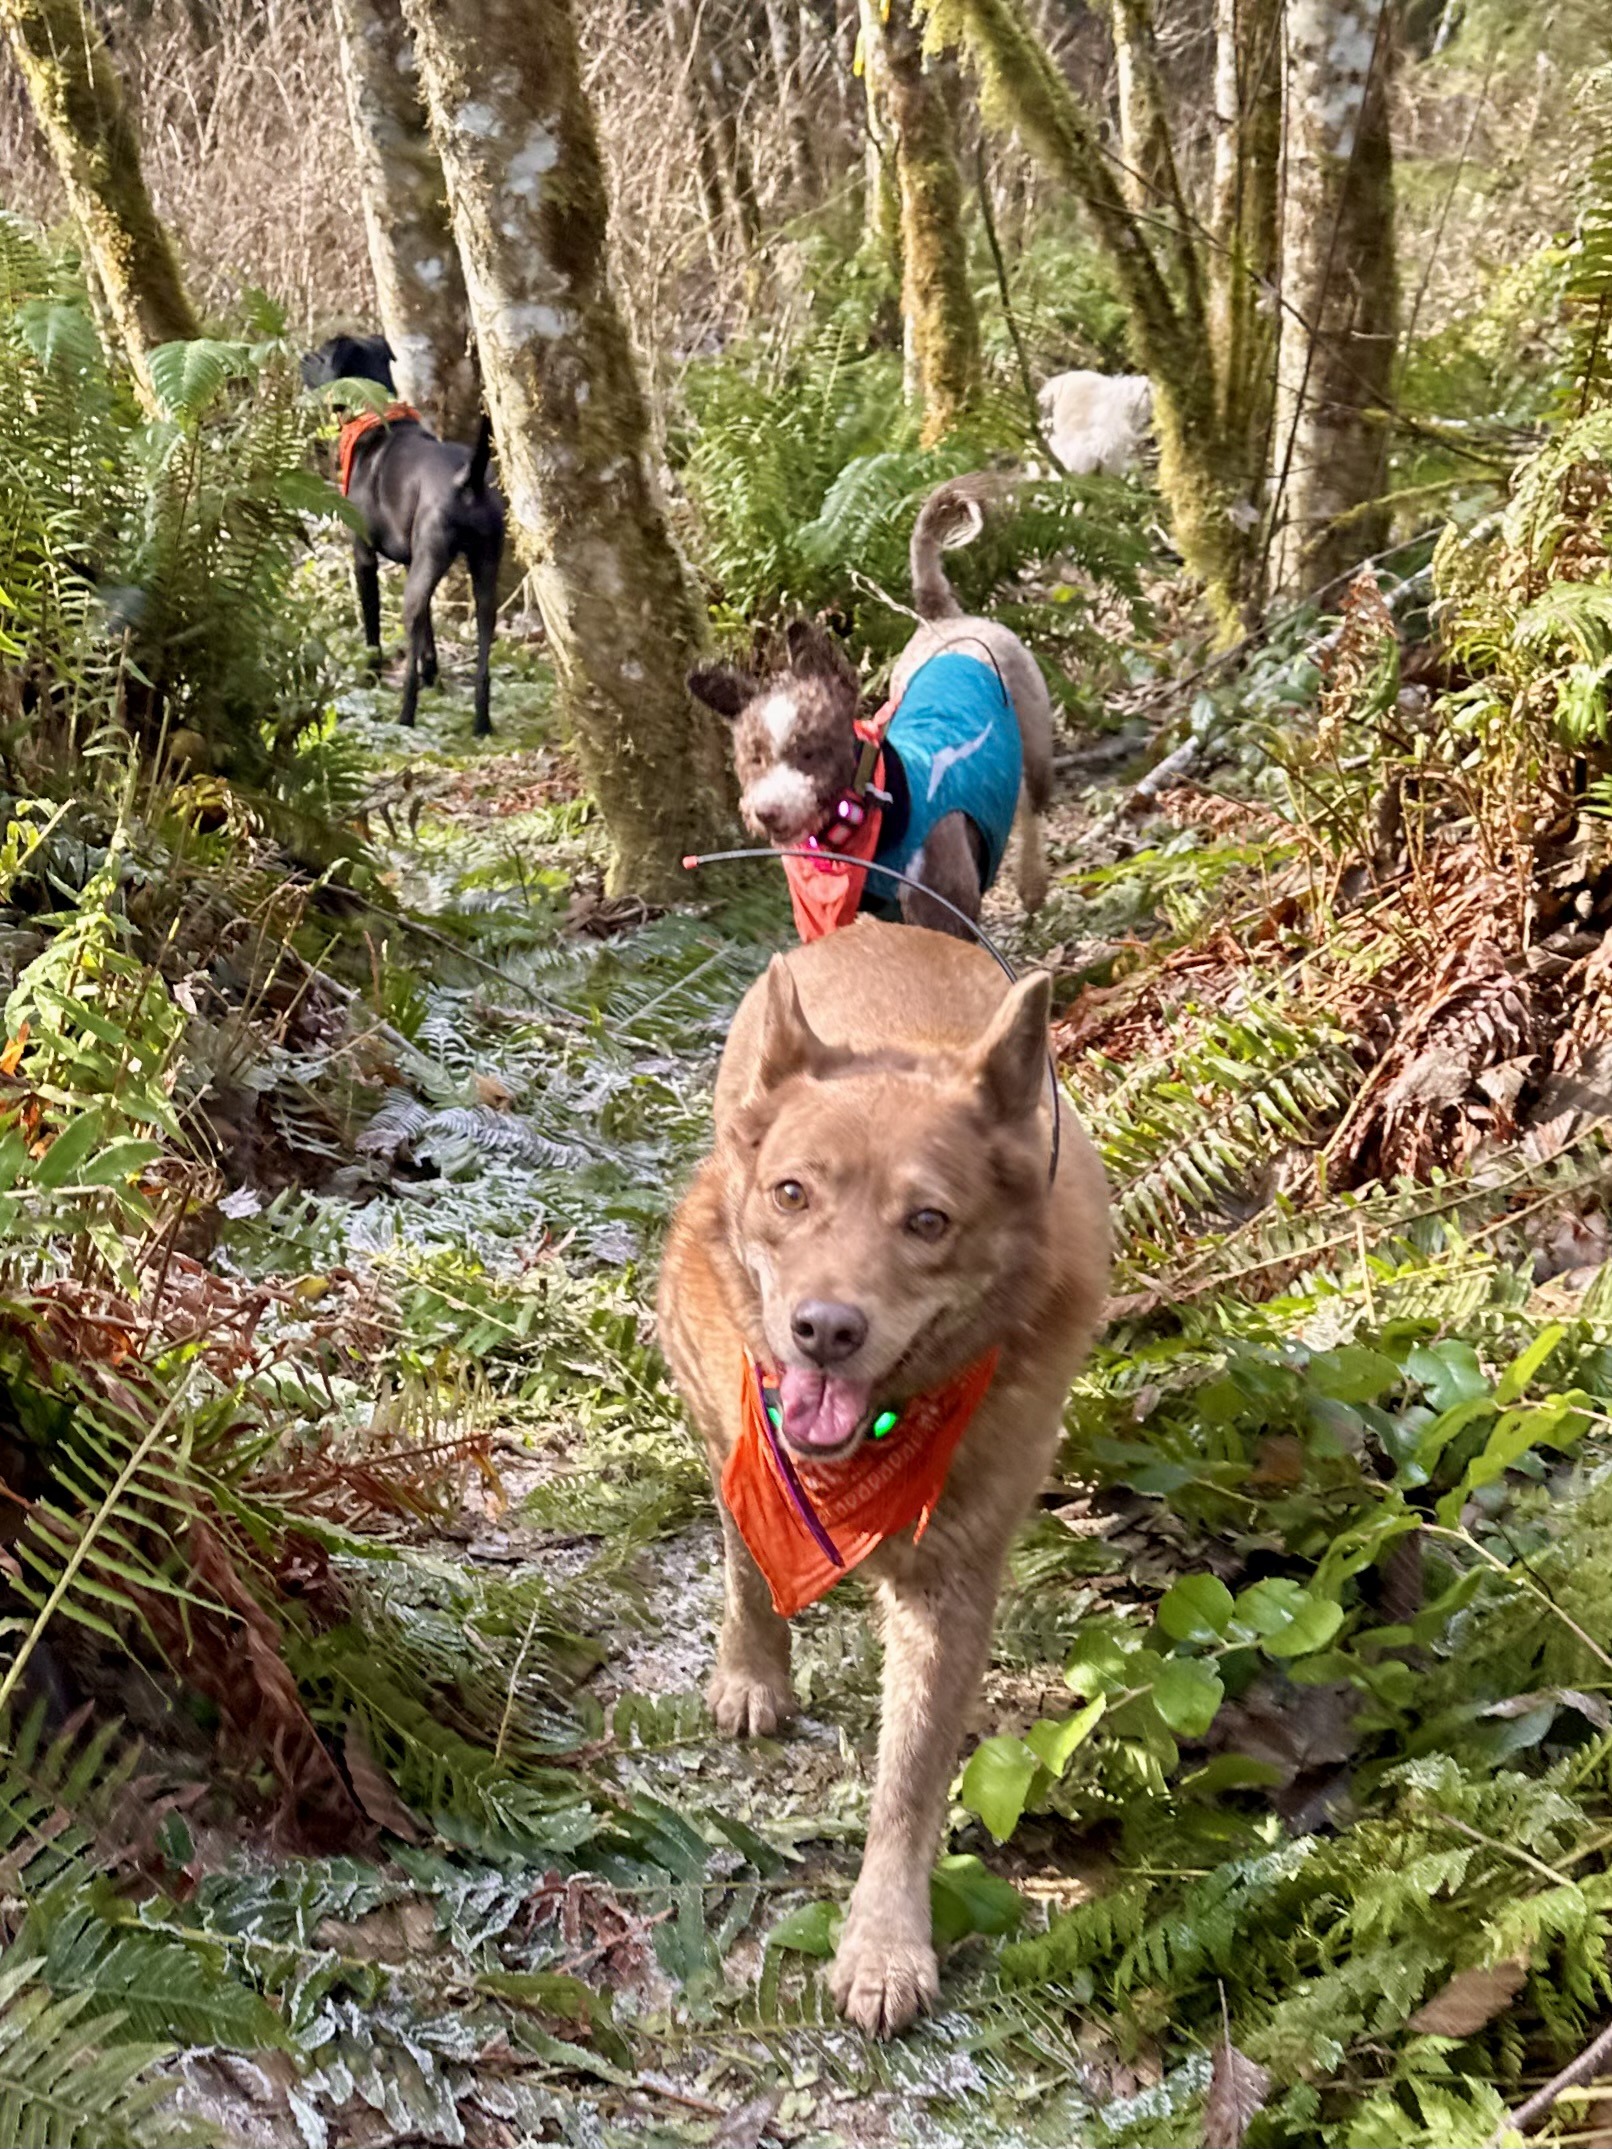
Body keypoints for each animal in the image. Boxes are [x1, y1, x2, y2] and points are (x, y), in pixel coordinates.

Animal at [300, 330, 505, 734]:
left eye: (320, 356)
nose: (301, 358)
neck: (373, 416)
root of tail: (469, 479)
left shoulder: (364, 556)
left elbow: (373, 625)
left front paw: (371, 676)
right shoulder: (414, 562)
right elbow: (428, 631)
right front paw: (434, 674)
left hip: (430, 563)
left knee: (408, 630)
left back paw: (406, 713)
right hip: (484, 569)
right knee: (483, 645)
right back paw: (482, 721)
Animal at [657, 919, 1109, 2028]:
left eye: (928, 1221)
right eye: (792, 1192)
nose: (824, 1329)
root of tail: (879, 923)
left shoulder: (952, 1583)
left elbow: (909, 1777)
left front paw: (885, 1940)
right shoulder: (736, 1419)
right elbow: (745, 1559)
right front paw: (753, 1667)